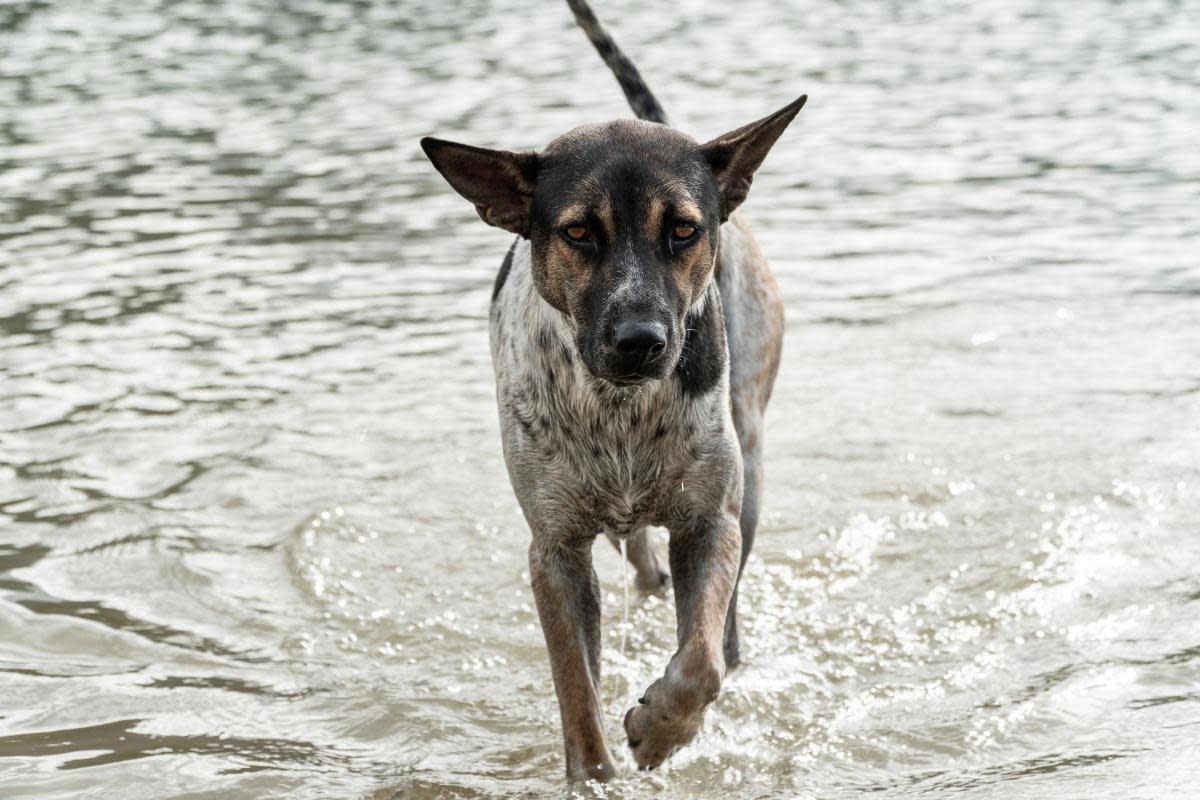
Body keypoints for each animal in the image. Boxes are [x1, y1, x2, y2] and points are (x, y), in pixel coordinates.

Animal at [422, 0, 806, 786]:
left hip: (748, 462)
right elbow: (577, 694)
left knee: (722, 624)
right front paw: (593, 774)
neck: (619, 410)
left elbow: (700, 662)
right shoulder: (554, 551)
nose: (641, 339)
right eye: (578, 233)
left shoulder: (710, 522)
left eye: (684, 229)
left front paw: (659, 729)